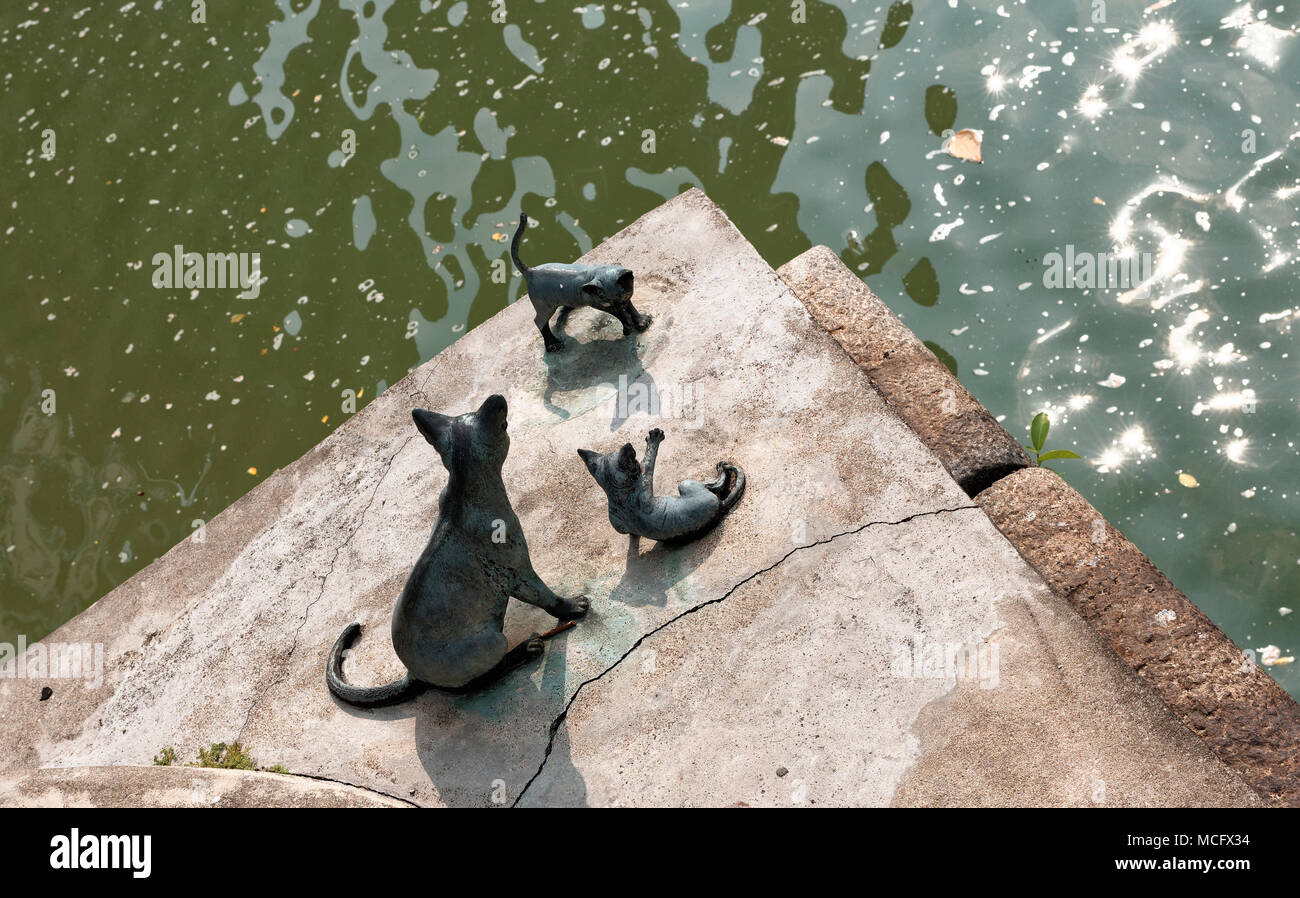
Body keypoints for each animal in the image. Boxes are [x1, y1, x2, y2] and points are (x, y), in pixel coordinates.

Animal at [506, 213, 650, 353]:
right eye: (606, 300)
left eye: (621, 296)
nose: (618, 305)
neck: (597, 272)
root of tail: (530, 271)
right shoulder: (599, 304)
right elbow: (620, 315)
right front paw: (628, 328)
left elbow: (630, 307)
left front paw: (642, 322)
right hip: (544, 306)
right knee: (539, 322)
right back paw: (553, 345)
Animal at [577, 426, 743, 543]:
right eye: (633, 460)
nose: (630, 447)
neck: (617, 494)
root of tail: (721, 507)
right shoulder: (644, 477)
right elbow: (649, 460)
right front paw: (654, 439)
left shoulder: (617, 524)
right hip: (686, 484)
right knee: (716, 484)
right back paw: (722, 471)